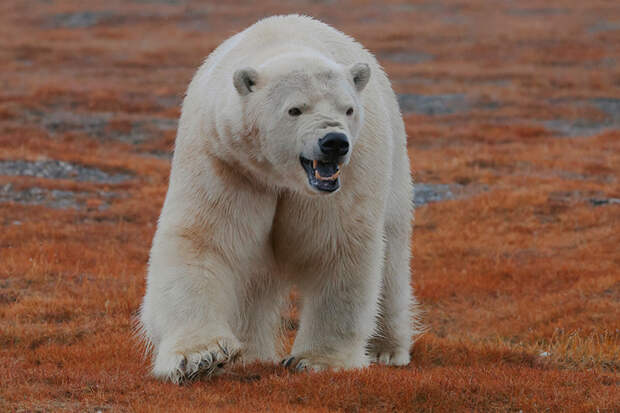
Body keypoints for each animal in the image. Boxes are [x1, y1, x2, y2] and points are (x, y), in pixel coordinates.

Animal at [140, 15, 418, 384]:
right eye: (295, 109)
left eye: (348, 109)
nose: (334, 142)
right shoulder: (225, 161)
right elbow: (203, 240)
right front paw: (202, 357)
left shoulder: (347, 178)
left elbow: (336, 247)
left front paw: (318, 361)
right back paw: (250, 354)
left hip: (394, 168)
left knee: (392, 257)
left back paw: (386, 350)